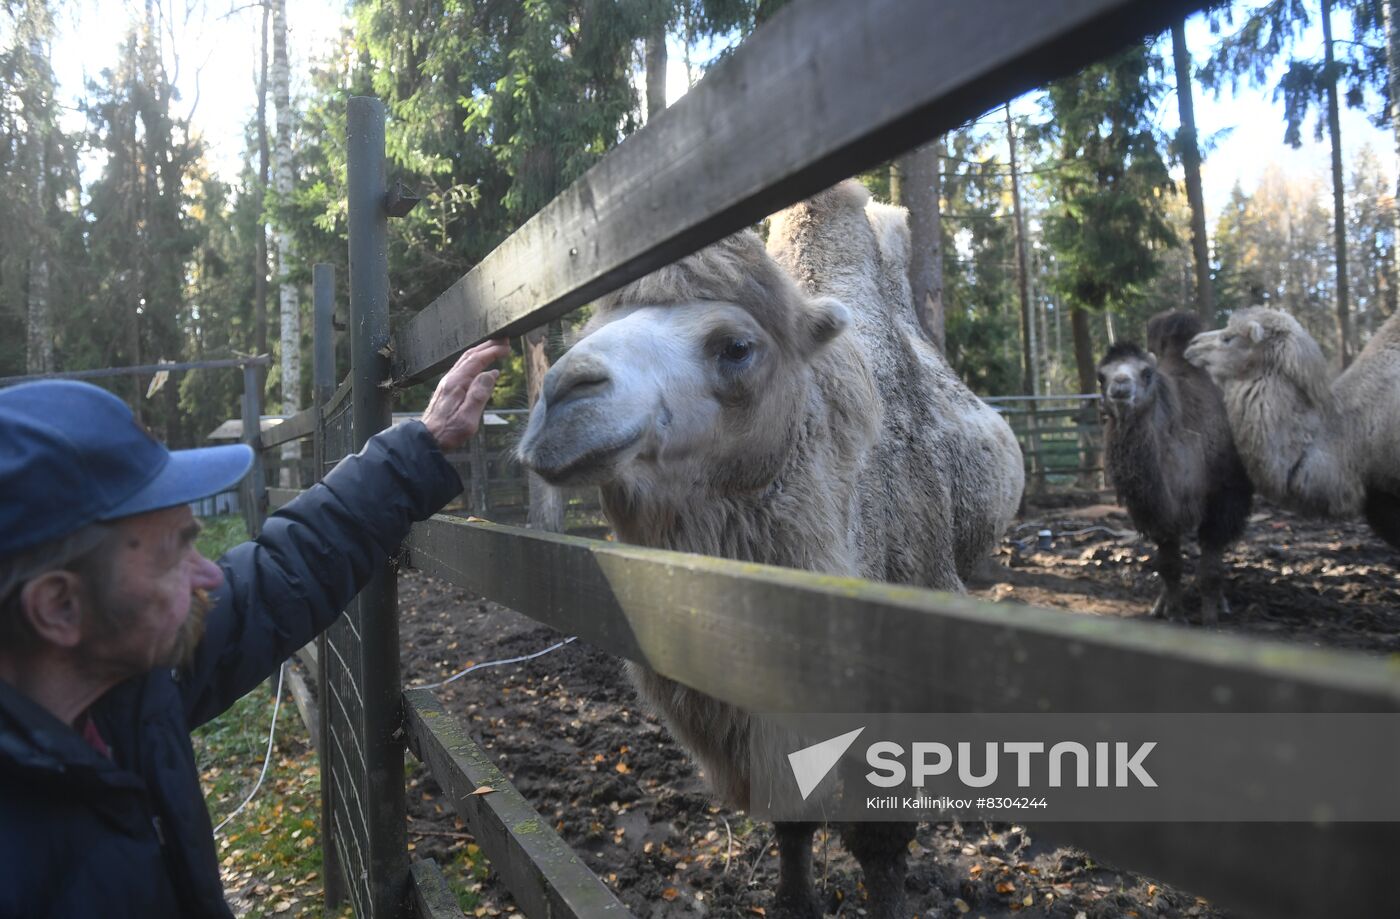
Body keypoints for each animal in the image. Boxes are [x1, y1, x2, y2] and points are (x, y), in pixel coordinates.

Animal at [520, 180, 1024, 919]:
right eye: (584, 333)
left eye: (735, 346)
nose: (562, 393)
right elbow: (790, 808)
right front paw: (793, 900)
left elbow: (883, 835)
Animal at [1097, 311, 1254, 624]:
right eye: (1101, 376)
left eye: (1147, 372)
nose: (1120, 386)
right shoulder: (1159, 512)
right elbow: (1169, 566)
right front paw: (1176, 615)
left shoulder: (1222, 499)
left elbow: (1211, 566)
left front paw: (1209, 617)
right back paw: (1161, 605)